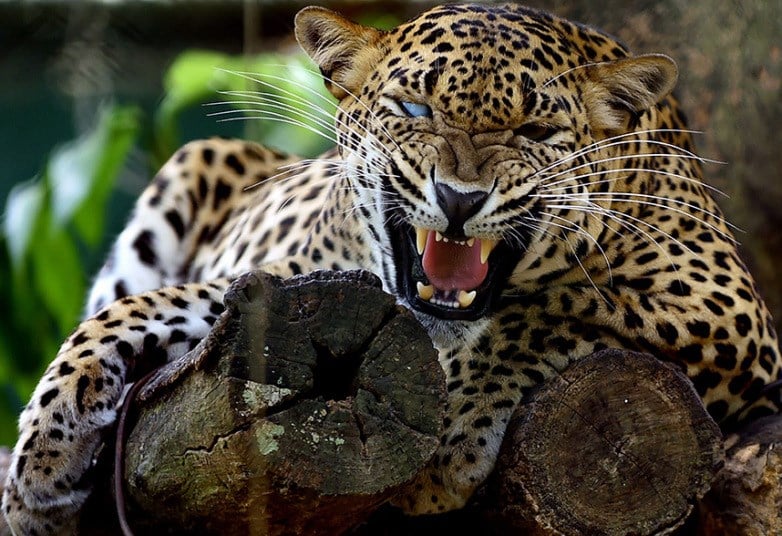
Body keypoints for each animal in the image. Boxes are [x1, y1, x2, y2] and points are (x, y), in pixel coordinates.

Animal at [3, 3, 780, 532]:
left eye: (534, 131)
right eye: (413, 108)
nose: (460, 198)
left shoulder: (725, 307)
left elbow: (551, 308)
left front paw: (449, 442)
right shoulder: (289, 282)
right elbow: (135, 310)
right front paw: (40, 460)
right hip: (198, 159)